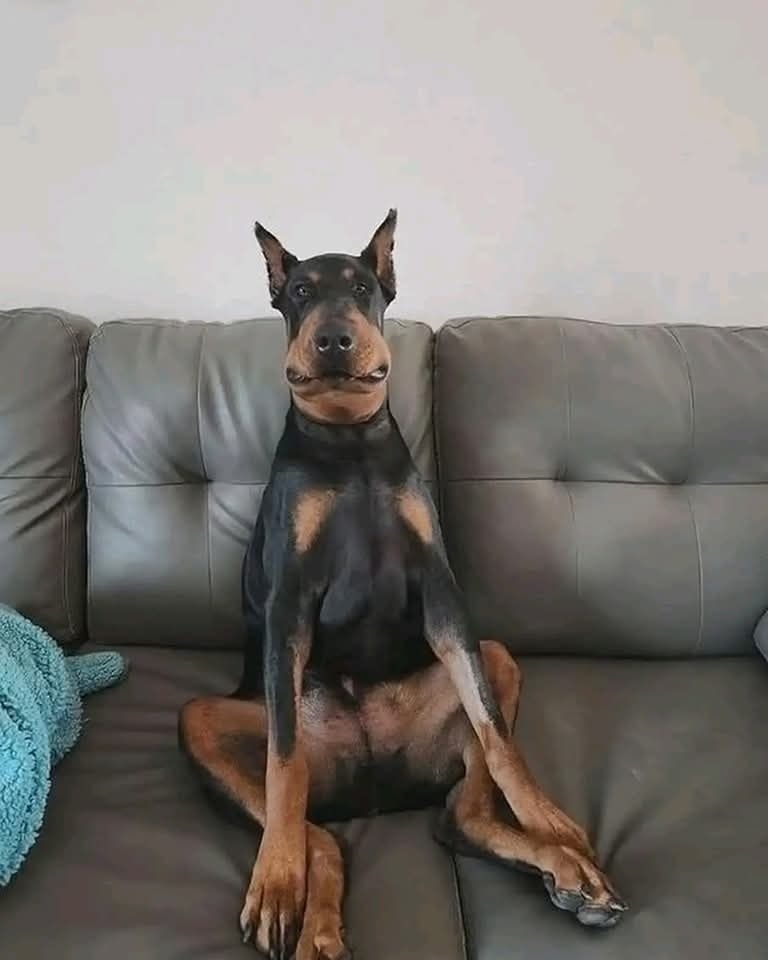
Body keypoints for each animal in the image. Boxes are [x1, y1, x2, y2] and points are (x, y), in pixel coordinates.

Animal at [179, 211, 626, 959]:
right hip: (209, 719)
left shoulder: (441, 589)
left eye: (363, 287)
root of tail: (377, 790)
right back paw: (307, 914)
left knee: (457, 813)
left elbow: (500, 739)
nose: (334, 338)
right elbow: (283, 763)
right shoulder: (288, 601)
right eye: (299, 291)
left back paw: (564, 869)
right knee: (315, 826)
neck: (350, 444)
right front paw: (276, 880)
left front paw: (554, 822)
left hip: (489, 661)